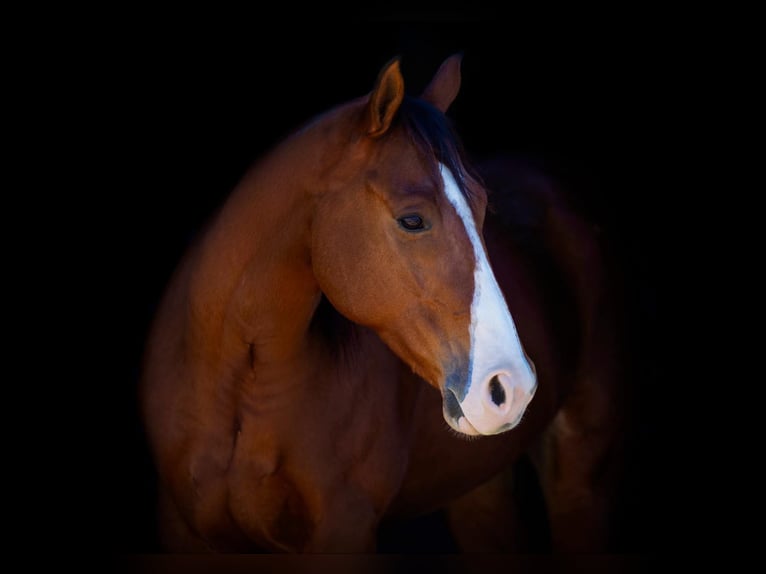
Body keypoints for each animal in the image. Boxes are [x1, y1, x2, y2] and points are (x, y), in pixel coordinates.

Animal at [139, 53, 630, 553]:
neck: (238, 387)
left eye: (482, 206)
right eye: (412, 220)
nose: (510, 388)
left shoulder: (347, 529)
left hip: (582, 477)